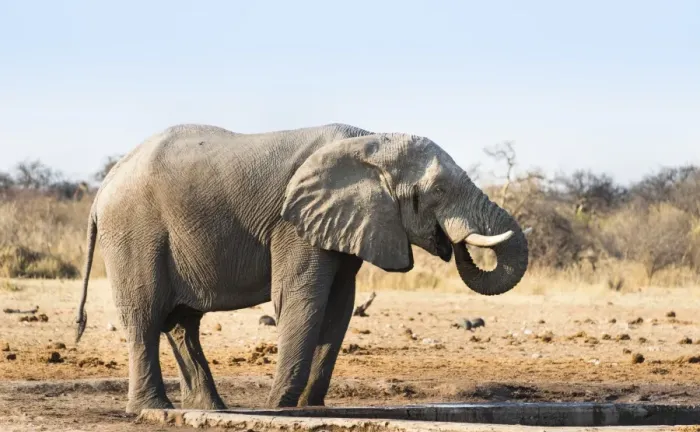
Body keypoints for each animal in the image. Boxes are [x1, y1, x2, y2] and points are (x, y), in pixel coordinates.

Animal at [74, 123, 529, 414]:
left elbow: (339, 307)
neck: (370, 141)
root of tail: (104, 186)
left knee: (183, 323)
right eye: (437, 191)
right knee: (146, 316)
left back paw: (212, 409)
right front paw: (278, 408)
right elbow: (302, 299)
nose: (451, 243)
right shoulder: (294, 224)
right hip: (135, 232)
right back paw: (151, 409)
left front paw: (312, 407)